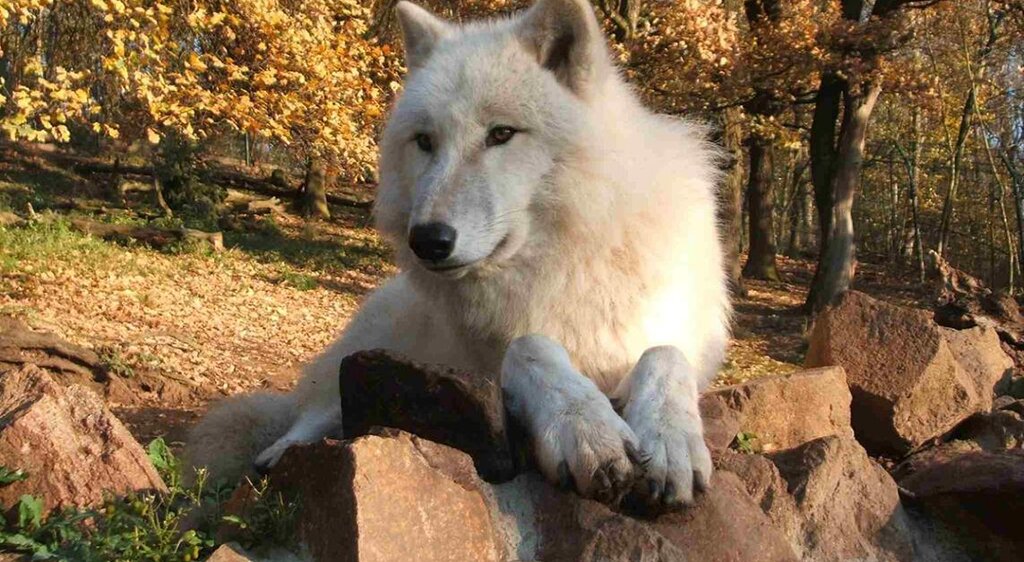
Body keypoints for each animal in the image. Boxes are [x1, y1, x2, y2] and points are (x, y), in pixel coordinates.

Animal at [186, 0, 730, 509]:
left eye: (501, 134)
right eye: (425, 142)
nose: (427, 240)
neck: (564, 261)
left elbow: (665, 354)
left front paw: (670, 439)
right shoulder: (488, 361)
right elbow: (530, 346)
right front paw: (584, 427)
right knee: (313, 414)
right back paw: (278, 457)